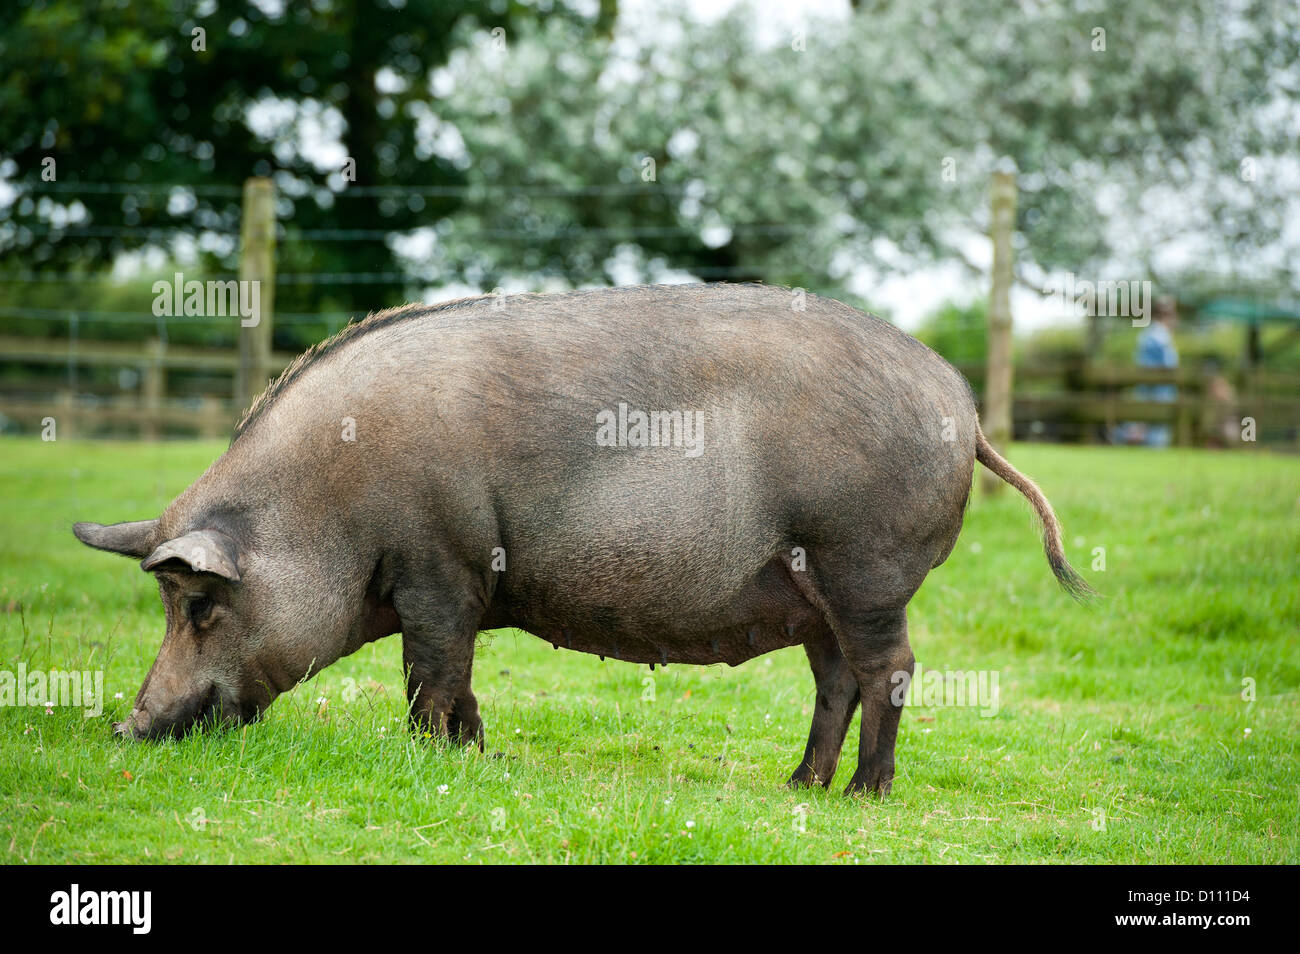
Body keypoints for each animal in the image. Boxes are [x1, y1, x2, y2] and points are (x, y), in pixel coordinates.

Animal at [71, 283, 1086, 800]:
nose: (129, 726)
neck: (329, 507)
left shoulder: (440, 567)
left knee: (892, 669)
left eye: (200, 603)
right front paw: (477, 757)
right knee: (835, 679)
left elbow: (431, 673)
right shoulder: (458, 587)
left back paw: (865, 796)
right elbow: (463, 681)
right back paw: (799, 786)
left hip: (863, 565)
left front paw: (431, 760)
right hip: (813, 589)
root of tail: (961, 404)